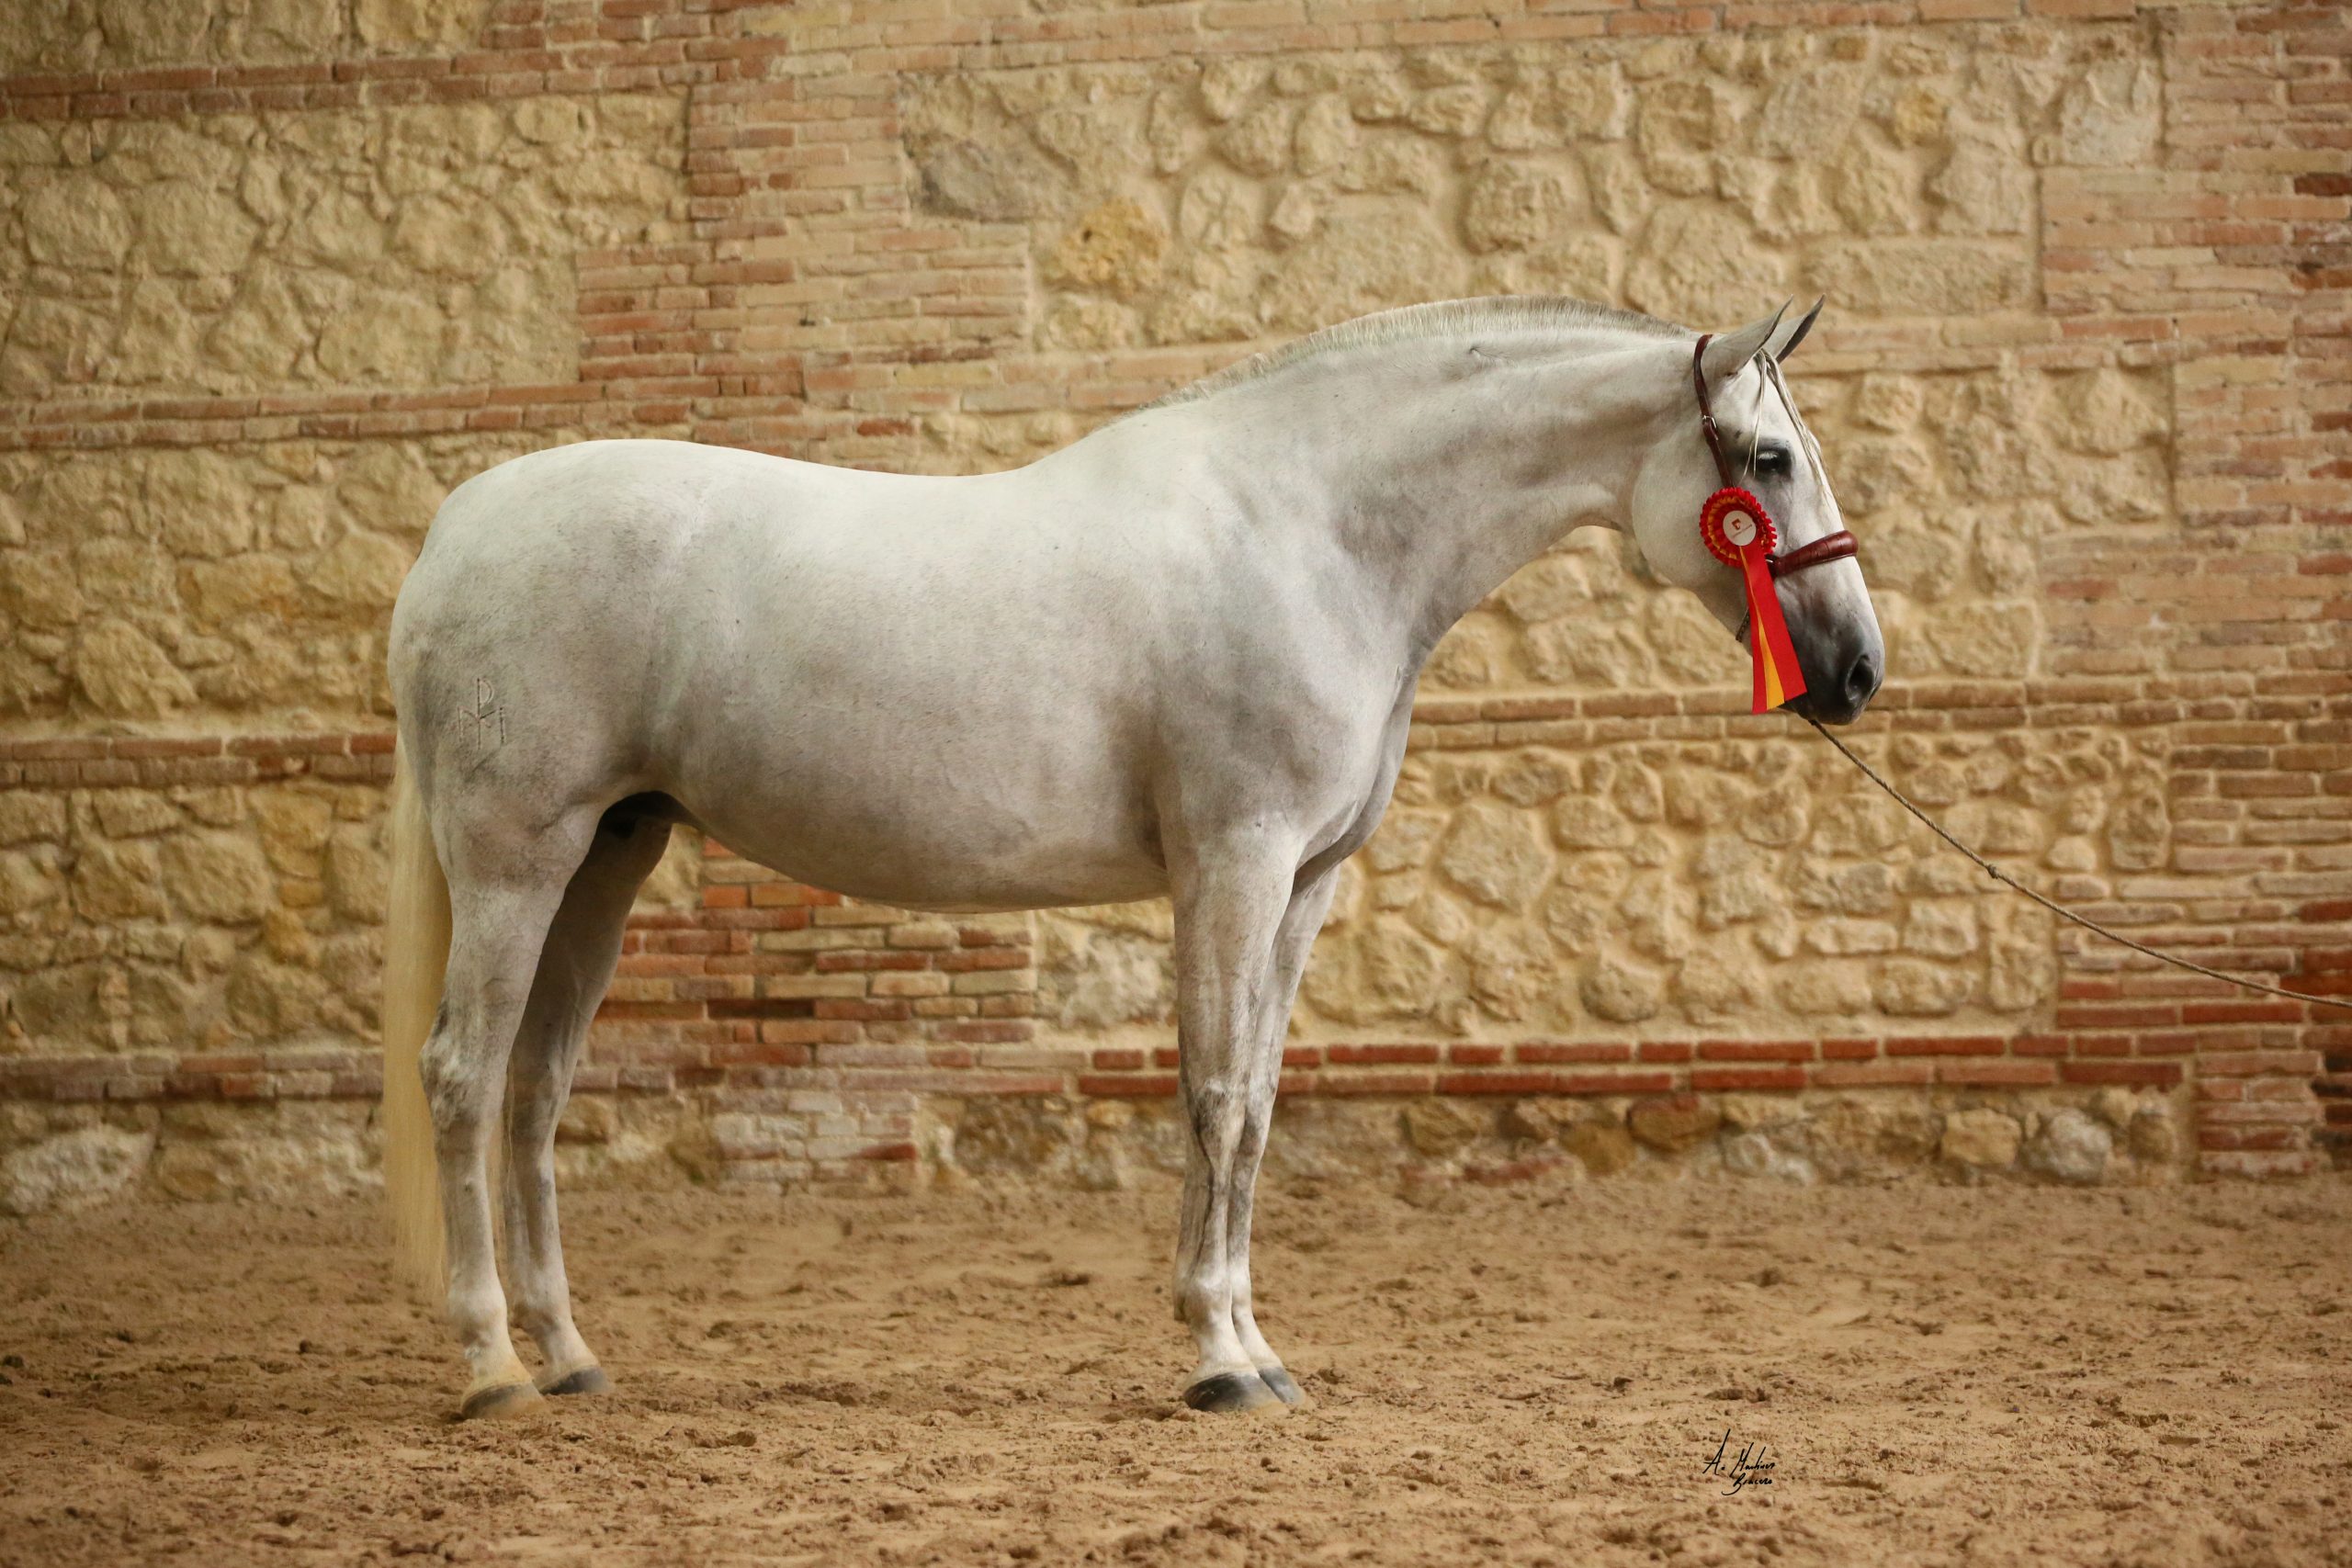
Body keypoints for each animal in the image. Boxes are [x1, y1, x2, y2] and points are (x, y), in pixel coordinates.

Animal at [378, 295, 1883, 1421]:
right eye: (1766, 462)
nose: (1859, 669)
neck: (1314, 535)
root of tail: (461, 524)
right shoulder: (1235, 863)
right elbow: (1212, 1093)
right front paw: (1218, 1358)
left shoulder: (1304, 886)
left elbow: (1259, 1103)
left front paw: (1258, 1345)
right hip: (518, 857)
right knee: (463, 1077)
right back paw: (493, 1365)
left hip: (609, 856)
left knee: (535, 1088)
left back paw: (571, 1356)